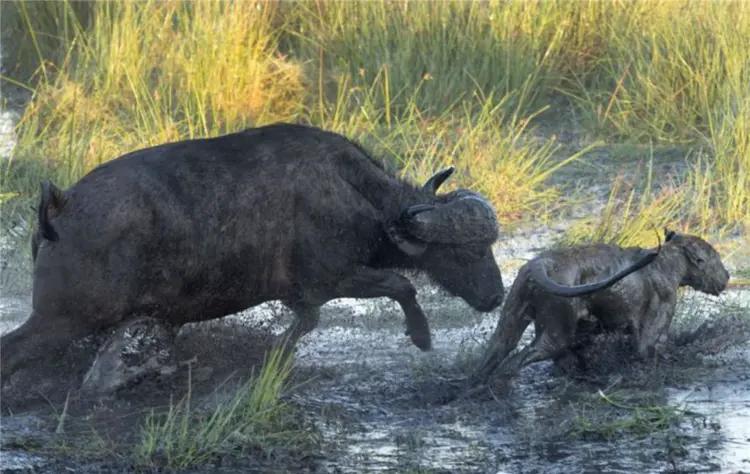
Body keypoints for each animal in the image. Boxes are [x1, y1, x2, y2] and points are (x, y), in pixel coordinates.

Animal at [1, 123, 506, 382]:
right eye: (465, 252)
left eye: (489, 245)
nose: (497, 296)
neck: (351, 191)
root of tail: (61, 206)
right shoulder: (334, 278)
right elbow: (402, 285)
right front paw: (421, 336)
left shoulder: (301, 296)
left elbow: (306, 324)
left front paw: (272, 351)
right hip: (61, 321)